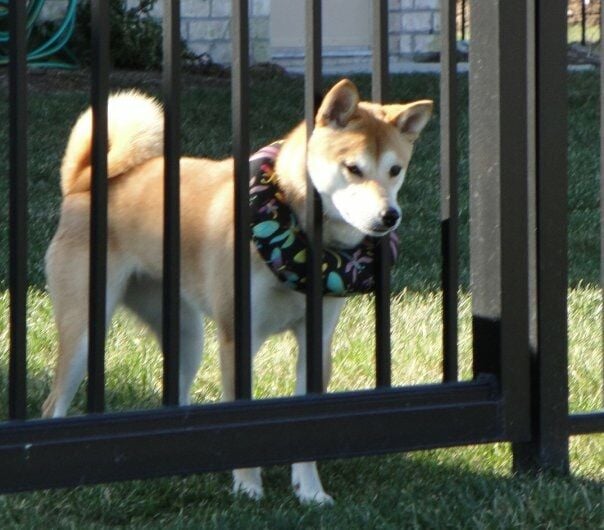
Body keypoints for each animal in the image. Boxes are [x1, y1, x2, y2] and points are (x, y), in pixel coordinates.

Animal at [41, 78, 430, 504]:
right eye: (353, 168)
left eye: (395, 170)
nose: (389, 216)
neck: (296, 234)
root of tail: (83, 185)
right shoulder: (237, 337)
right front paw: (247, 486)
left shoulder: (316, 340)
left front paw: (309, 492)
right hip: (84, 332)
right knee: (52, 404)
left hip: (186, 335)